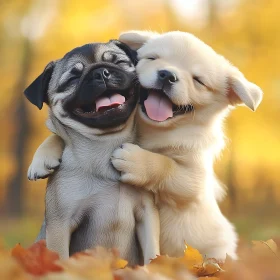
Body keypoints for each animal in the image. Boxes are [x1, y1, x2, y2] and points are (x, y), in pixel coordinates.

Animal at [25, 40, 161, 264]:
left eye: (118, 62)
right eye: (73, 78)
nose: (101, 72)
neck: (105, 142)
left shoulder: (147, 214)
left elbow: (152, 255)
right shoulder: (60, 225)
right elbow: (61, 260)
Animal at [110, 30, 264, 260]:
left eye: (198, 80)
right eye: (152, 58)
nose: (167, 75)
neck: (153, 132)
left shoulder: (196, 178)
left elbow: (168, 167)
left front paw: (136, 161)